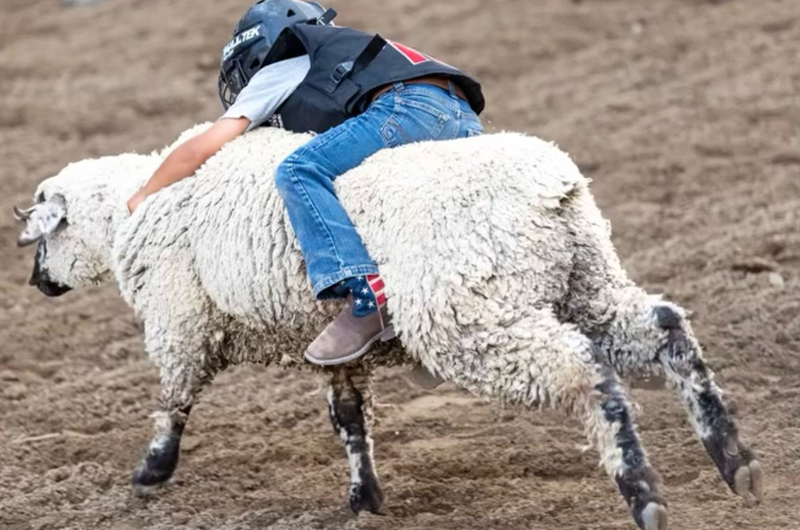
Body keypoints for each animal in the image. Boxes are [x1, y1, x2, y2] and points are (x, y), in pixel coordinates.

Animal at [14, 124, 764, 528]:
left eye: (43, 237)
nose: (35, 285)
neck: (131, 211)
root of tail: (554, 190)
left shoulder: (181, 321)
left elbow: (174, 400)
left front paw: (151, 472)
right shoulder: (330, 341)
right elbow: (348, 418)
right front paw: (364, 496)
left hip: (468, 315)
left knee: (588, 374)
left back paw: (644, 493)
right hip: (584, 282)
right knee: (664, 328)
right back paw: (734, 461)